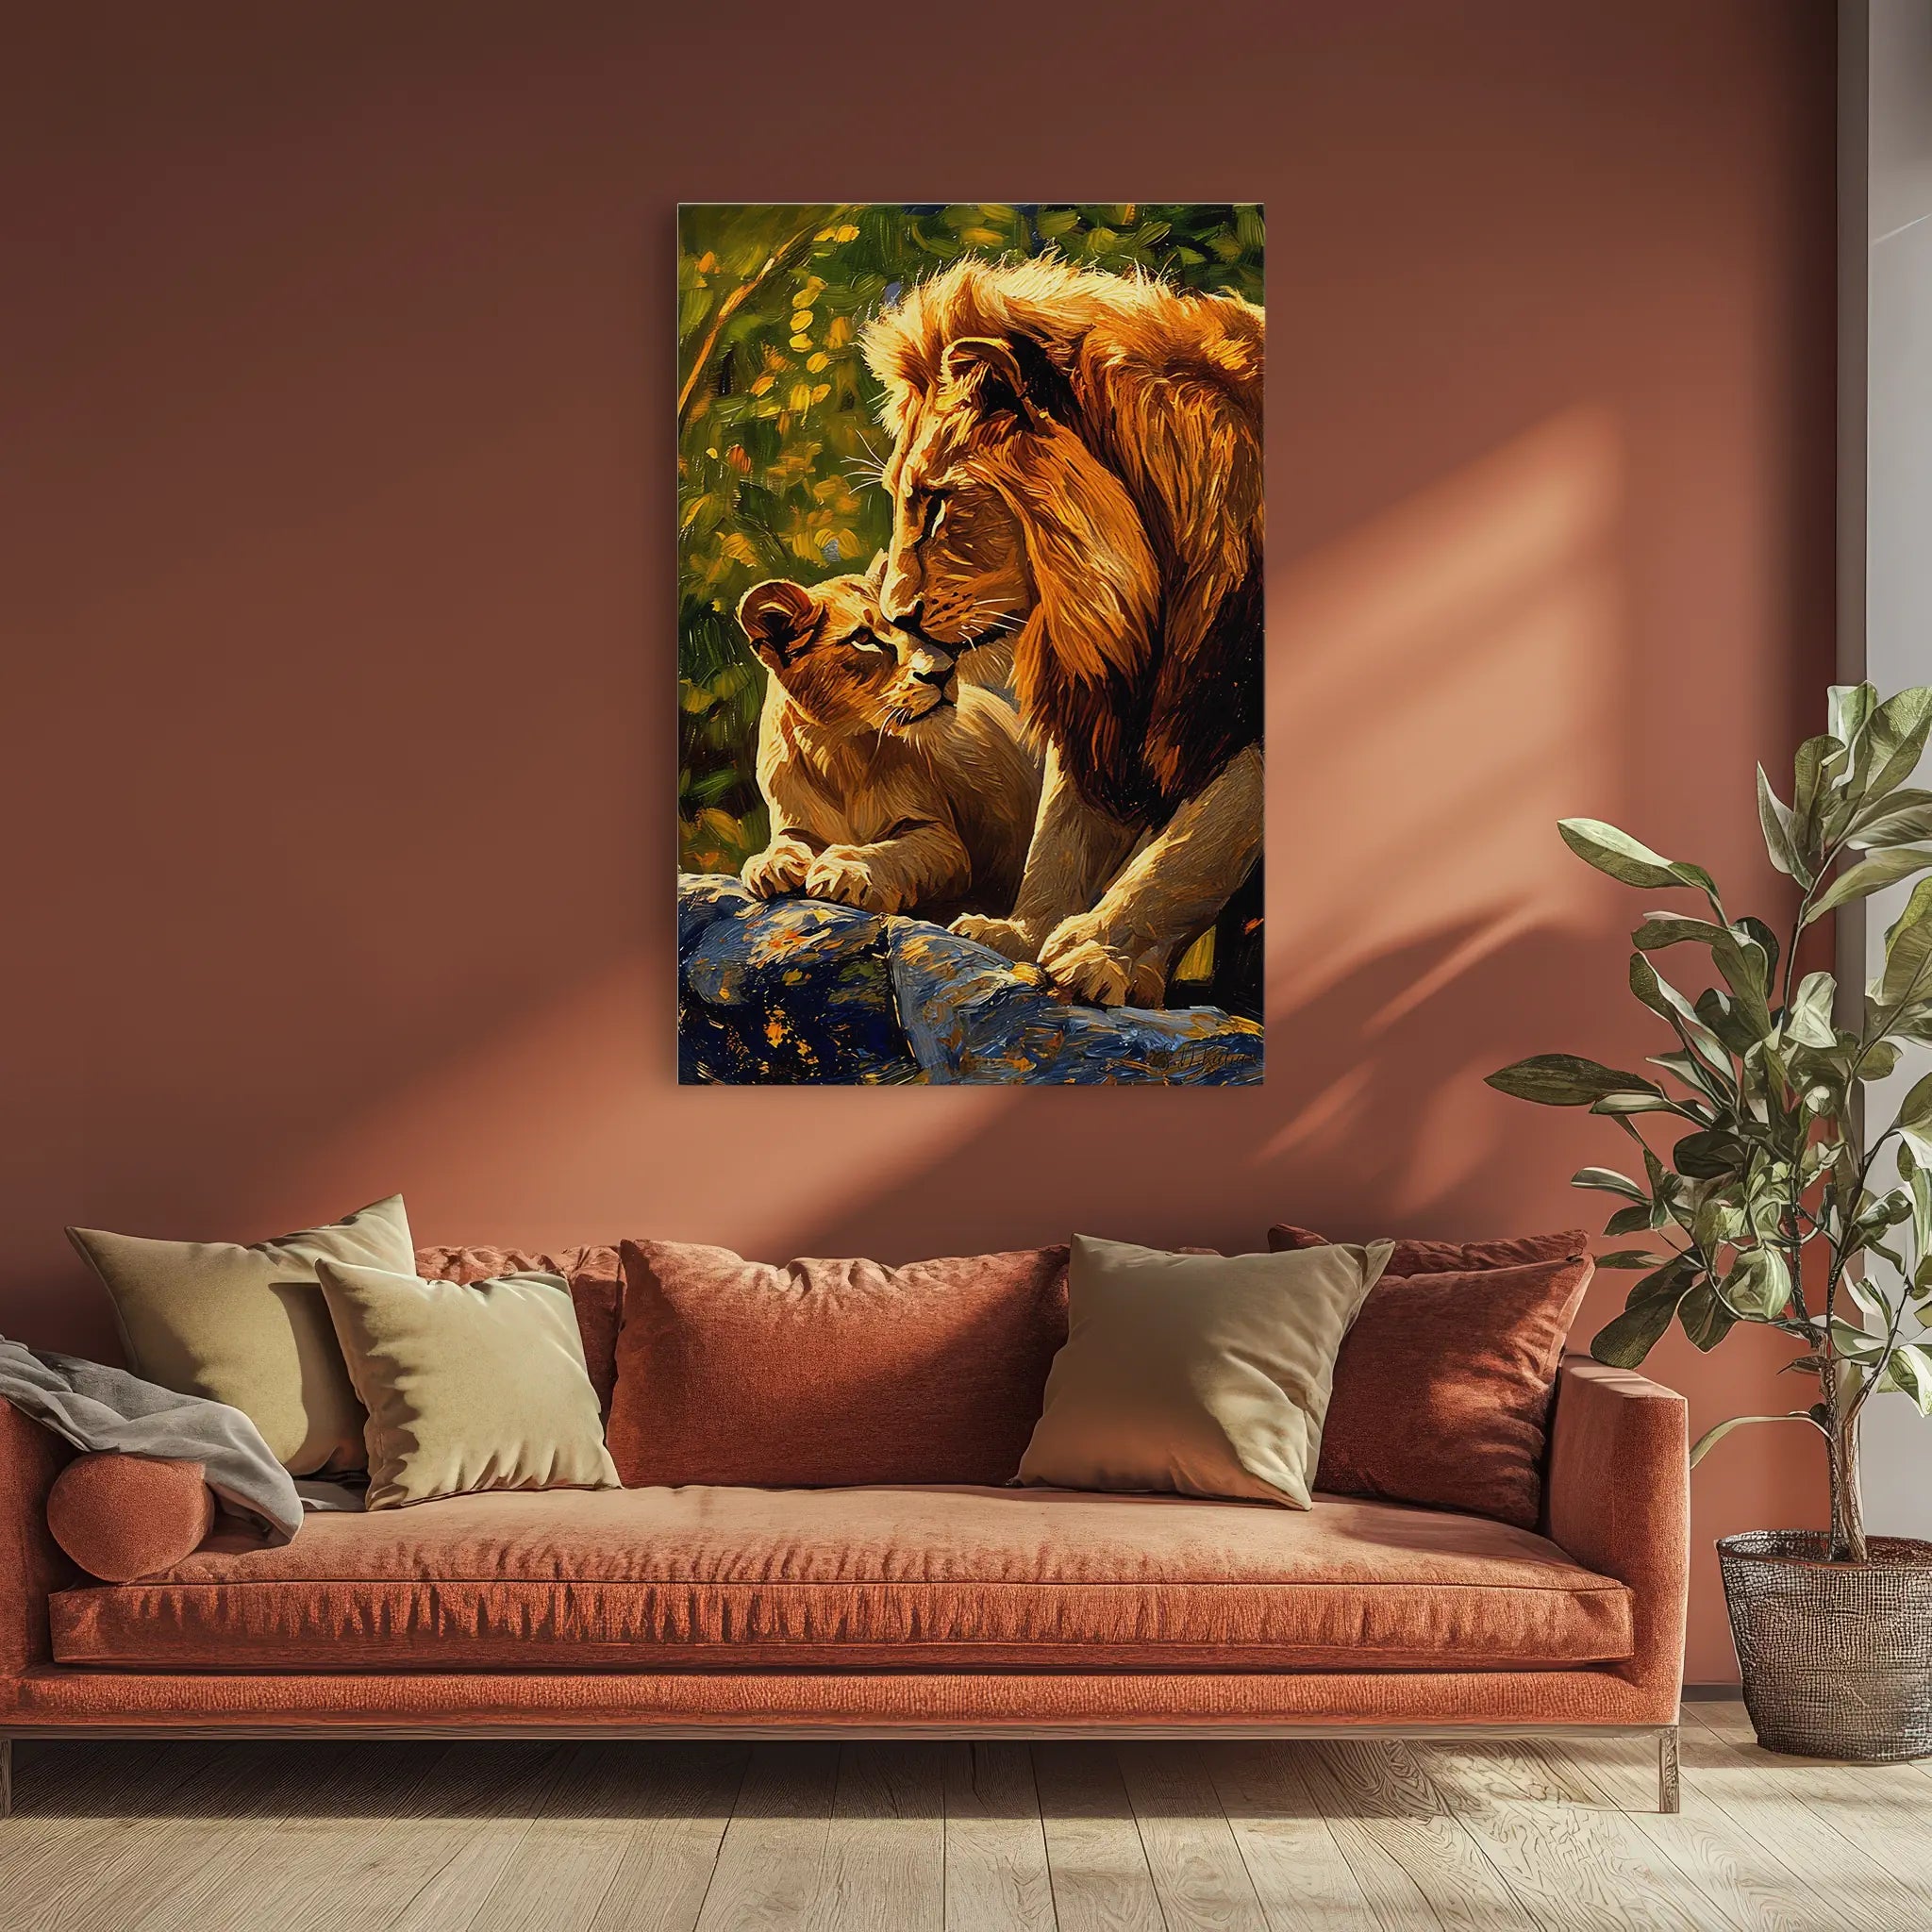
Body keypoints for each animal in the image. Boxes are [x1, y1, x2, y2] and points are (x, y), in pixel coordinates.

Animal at [734, 568, 1041, 922]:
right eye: (864, 639)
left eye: (920, 630)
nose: (942, 673)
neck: (839, 753)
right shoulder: (793, 822)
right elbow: (786, 841)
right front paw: (771, 862)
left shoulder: (942, 839)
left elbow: (895, 852)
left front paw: (848, 869)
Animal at [860, 255, 1264, 1010]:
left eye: (936, 503)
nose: (895, 616)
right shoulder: (1104, 699)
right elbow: (1061, 833)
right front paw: (1021, 933)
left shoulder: (1239, 713)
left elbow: (1193, 848)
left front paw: (1103, 954)